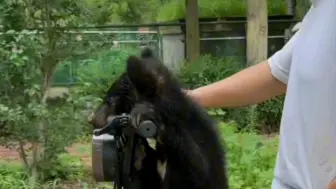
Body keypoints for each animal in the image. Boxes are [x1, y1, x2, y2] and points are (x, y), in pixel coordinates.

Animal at [88, 48, 230, 189]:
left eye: (112, 101)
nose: (92, 119)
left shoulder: (202, 142)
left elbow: (198, 171)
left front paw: (144, 114)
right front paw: (132, 147)